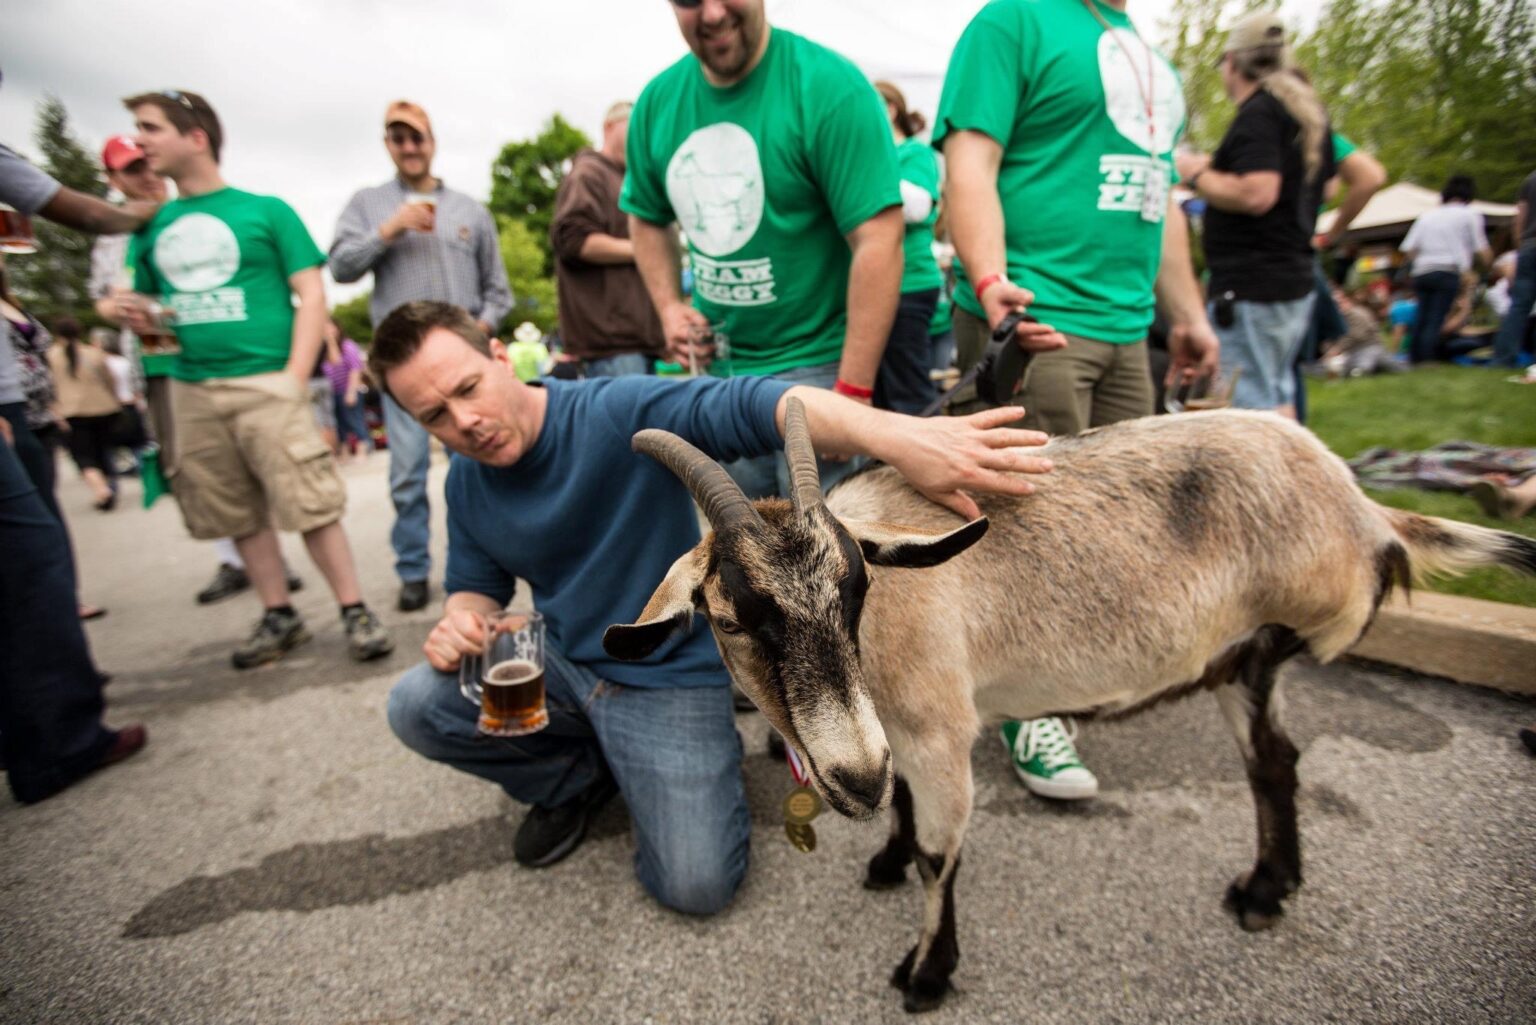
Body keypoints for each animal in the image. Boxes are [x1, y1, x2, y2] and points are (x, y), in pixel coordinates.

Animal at [602, 396, 1536, 1014]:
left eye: (858, 589)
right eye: (728, 617)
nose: (853, 778)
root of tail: (1369, 512)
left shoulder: (937, 728)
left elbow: (942, 851)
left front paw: (927, 972)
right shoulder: (894, 729)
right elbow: (905, 810)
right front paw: (886, 858)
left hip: (1266, 644)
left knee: (1271, 757)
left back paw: (1263, 887)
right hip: (1241, 661)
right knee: (1275, 760)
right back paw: (1266, 888)